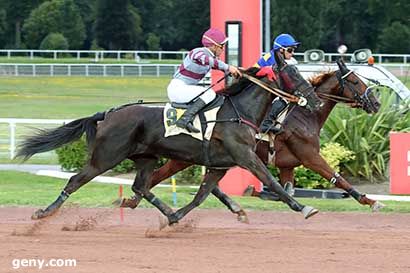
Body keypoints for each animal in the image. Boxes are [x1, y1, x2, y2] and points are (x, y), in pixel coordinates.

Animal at [16, 64, 324, 223]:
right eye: (293, 73)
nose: (315, 99)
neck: (238, 112)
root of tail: (108, 114)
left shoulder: (220, 165)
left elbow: (201, 196)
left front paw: (177, 216)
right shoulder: (245, 156)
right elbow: (271, 182)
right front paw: (304, 207)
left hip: (146, 158)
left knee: (140, 186)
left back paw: (163, 210)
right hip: (105, 157)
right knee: (75, 181)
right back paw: (44, 213)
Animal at [119, 59, 384, 221]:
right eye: (355, 81)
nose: (376, 103)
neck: (304, 114)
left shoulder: (287, 164)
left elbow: (286, 188)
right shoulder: (309, 156)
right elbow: (338, 179)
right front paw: (370, 200)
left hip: (188, 157)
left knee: (160, 179)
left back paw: (133, 201)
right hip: (185, 158)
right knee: (155, 178)